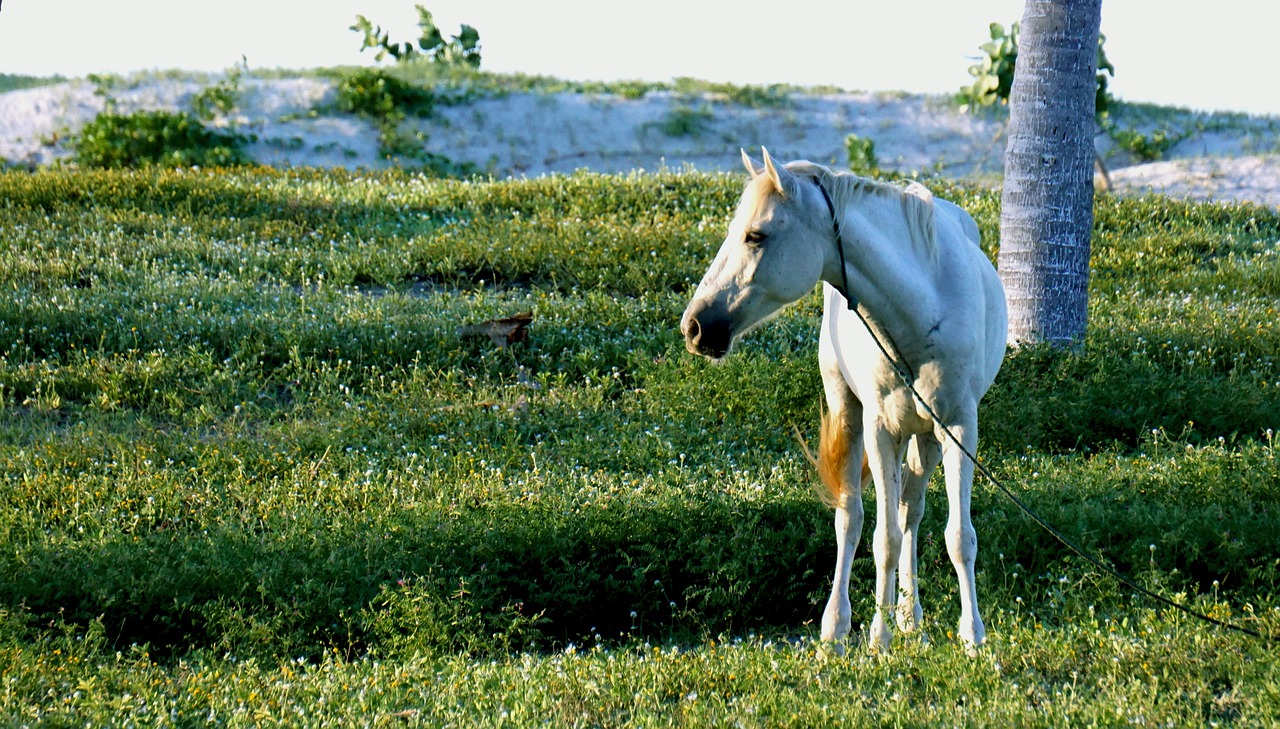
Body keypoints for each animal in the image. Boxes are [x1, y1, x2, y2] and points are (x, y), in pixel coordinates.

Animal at [686, 150, 1003, 649]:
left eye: (755, 235)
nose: (695, 326)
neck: (922, 307)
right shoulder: (880, 429)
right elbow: (883, 540)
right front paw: (879, 638)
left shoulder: (957, 428)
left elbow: (957, 536)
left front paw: (973, 638)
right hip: (852, 417)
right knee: (851, 520)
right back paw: (838, 629)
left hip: (926, 439)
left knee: (911, 512)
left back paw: (911, 619)